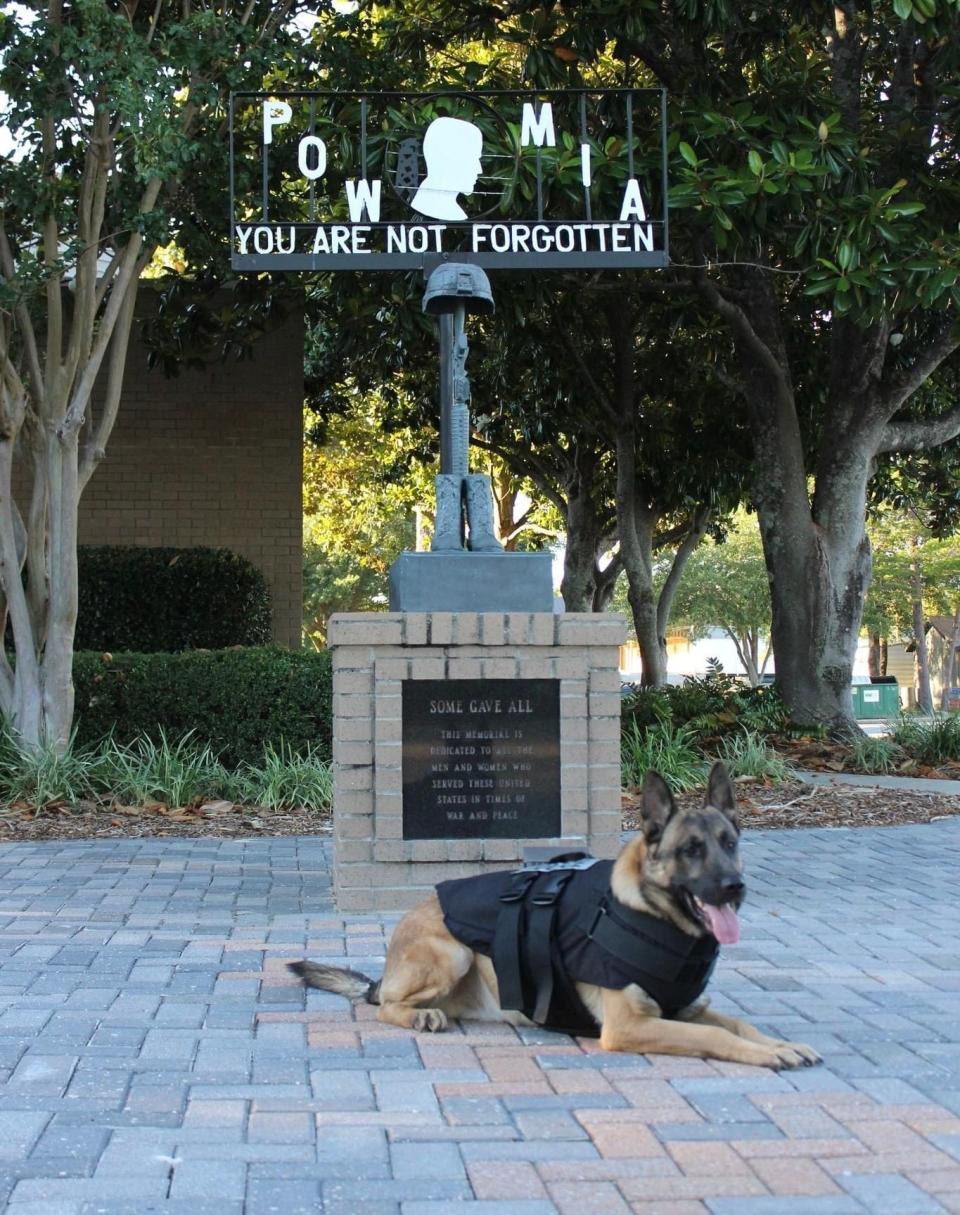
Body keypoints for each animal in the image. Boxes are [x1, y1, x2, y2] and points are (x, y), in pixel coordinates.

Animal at [289, 763, 821, 1069]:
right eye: (691, 849)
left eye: (729, 844)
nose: (735, 887)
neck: (650, 913)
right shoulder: (629, 1025)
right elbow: (714, 1036)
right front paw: (769, 1054)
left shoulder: (686, 1008)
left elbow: (738, 1025)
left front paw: (779, 1043)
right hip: (452, 954)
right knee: (383, 1004)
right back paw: (419, 1015)